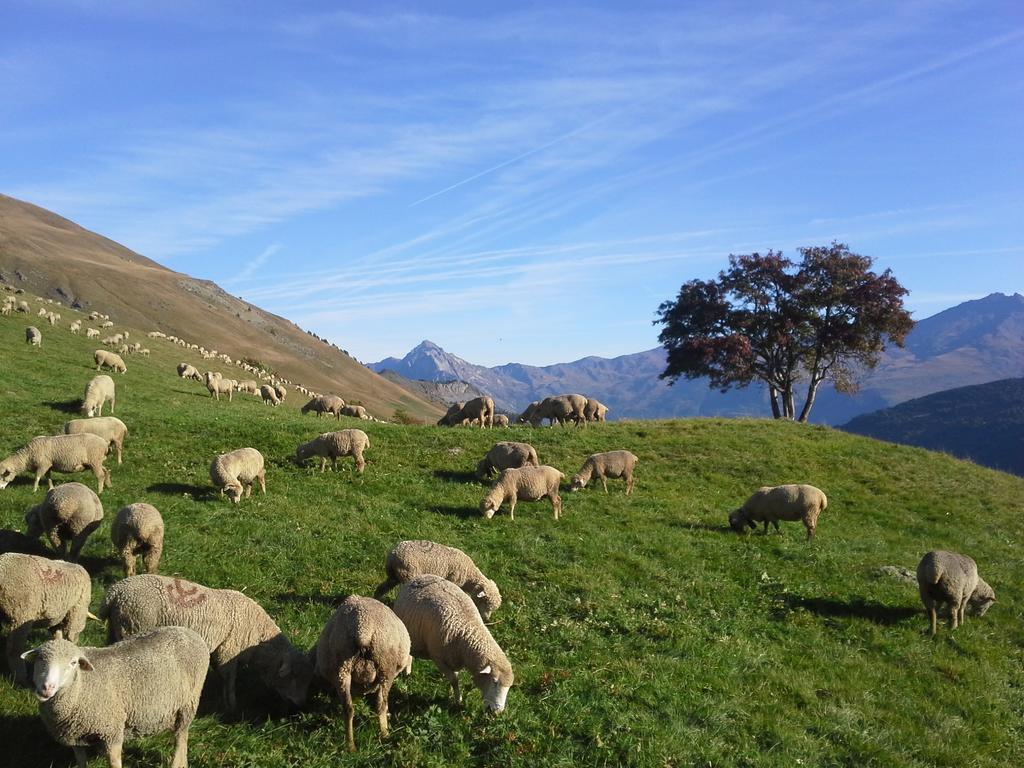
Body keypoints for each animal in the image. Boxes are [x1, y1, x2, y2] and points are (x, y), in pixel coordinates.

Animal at [21, 626, 209, 768]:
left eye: (73, 663)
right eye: (40, 659)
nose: (47, 687)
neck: (82, 686)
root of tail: (188, 631)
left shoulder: (112, 730)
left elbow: (114, 761)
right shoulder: (74, 735)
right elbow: (81, 761)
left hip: (188, 704)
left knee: (181, 737)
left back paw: (177, 763)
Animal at [102, 573, 315, 712]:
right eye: (294, 676)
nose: (301, 705)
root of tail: (114, 593)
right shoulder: (228, 652)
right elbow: (229, 680)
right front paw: (231, 705)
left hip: (116, 629)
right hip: (134, 624)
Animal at [311, 593, 411, 753]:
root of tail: (363, 628)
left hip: (342, 667)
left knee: (348, 708)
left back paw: (350, 745)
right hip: (385, 666)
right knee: (381, 704)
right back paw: (385, 734)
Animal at [391, 573, 512, 712]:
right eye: (494, 682)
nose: (497, 712)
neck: (467, 630)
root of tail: (421, 576)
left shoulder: (453, 658)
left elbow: (455, 678)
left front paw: (451, 694)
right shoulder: (438, 658)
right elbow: (454, 680)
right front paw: (458, 700)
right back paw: (407, 672)